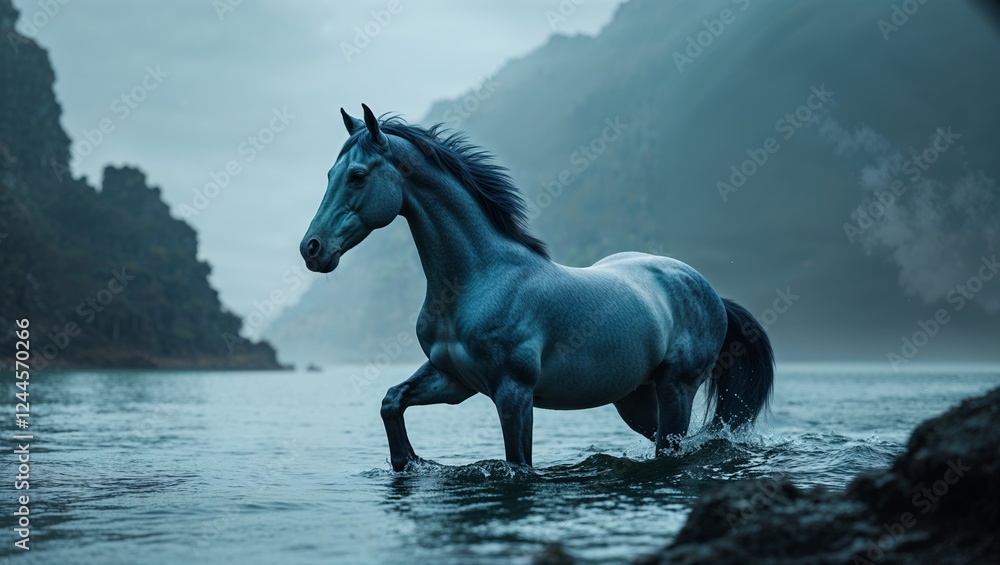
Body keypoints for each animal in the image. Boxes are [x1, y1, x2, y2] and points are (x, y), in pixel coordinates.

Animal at [300, 104, 774, 472]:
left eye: (358, 176)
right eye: (329, 173)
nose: (312, 249)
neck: (478, 280)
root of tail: (708, 291)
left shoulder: (514, 394)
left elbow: (519, 463)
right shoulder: (453, 380)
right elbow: (391, 401)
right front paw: (408, 462)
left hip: (677, 388)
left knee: (675, 446)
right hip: (636, 399)